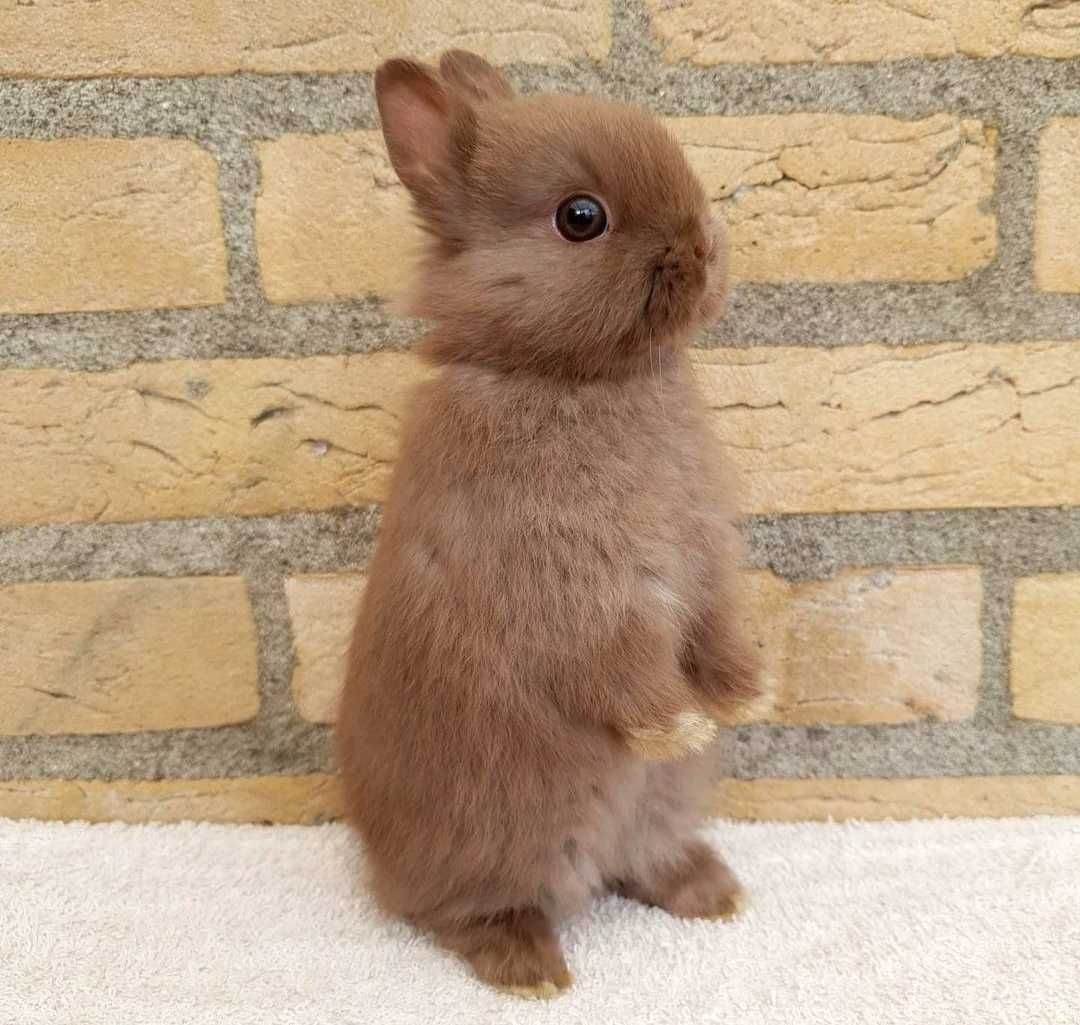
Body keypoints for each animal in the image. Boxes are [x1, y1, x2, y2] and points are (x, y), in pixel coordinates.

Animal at [336, 49, 760, 997]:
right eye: (581, 218)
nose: (704, 246)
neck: (573, 377)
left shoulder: (704, 552)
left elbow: (718, 623)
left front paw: (748, 694)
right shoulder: (576, 586)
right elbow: (621, 661)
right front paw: (681, 723)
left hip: (658, 806)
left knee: (644, 861)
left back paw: (713, 891)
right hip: (498, 837)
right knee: (458, 912)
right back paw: (531, 967)